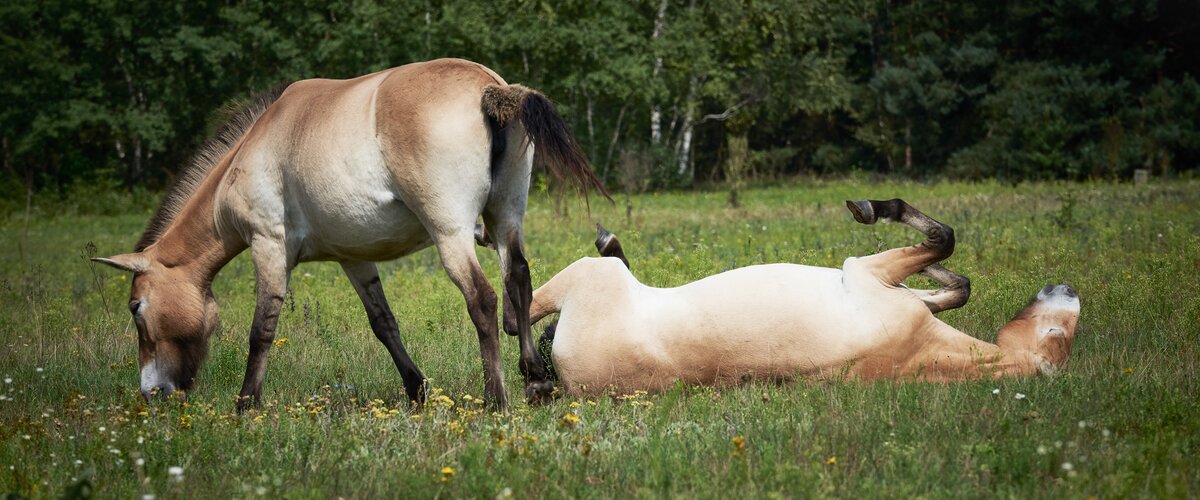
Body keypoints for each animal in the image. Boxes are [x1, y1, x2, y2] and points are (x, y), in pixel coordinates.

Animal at [91, 57, 609, 410]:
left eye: (136, 308)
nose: (153, 392)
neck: (254, 148)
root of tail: (488, 88)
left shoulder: (268, 246)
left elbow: (262, 329)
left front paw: (246, 403)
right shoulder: (354, 258)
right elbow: (384, 324)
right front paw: (416, 390)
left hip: (451, 232)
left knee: (482, 298)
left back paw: (494, 398)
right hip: (505, 219)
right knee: (518, 281)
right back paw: (535, 381)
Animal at [516, 199, 1080, 393]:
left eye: (1058, 331)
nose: (1068, 288)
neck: (918, 353)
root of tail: (567, 381)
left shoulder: (867, 271)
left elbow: (942, 239)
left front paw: (871, 208)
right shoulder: (885, 279)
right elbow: (957, 282)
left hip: (590, 278)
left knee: (520, 311)